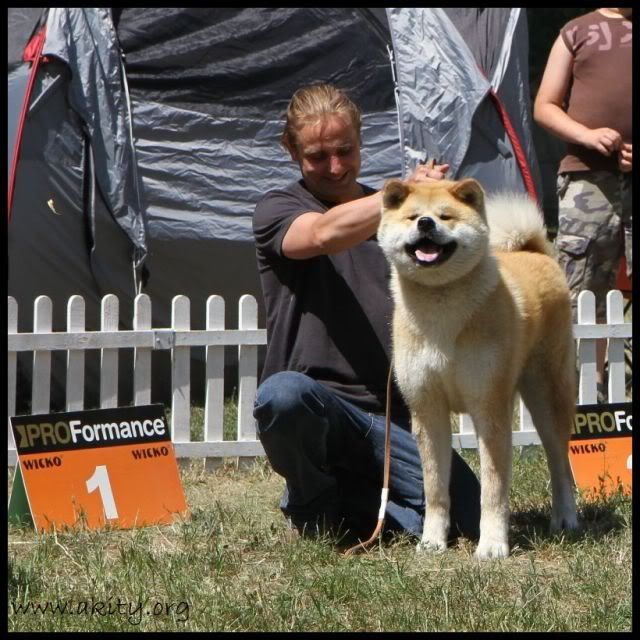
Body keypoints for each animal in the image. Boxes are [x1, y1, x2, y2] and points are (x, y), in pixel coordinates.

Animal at [377, 178, 579, 559]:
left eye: (445, 216)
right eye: (412, 216)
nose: (426, 223)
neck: (442, 313)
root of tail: (535, 253)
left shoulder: (490, 408)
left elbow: (493, 490)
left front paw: (492, 546)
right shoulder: (428, 410)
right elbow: (436, 488)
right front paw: (432, 541)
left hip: (548, 399)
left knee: (560, 465)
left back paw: (566, 519)